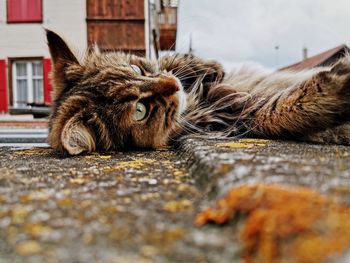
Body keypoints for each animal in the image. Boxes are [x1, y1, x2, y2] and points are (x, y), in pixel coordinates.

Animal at [46, 29, 350, 156]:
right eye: (140, 111)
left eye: (136, 68)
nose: (173, 86)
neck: (195, 103)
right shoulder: (244, 115)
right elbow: (284, 109)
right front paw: (338, 83)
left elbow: (173, 60)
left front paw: (207, 67)